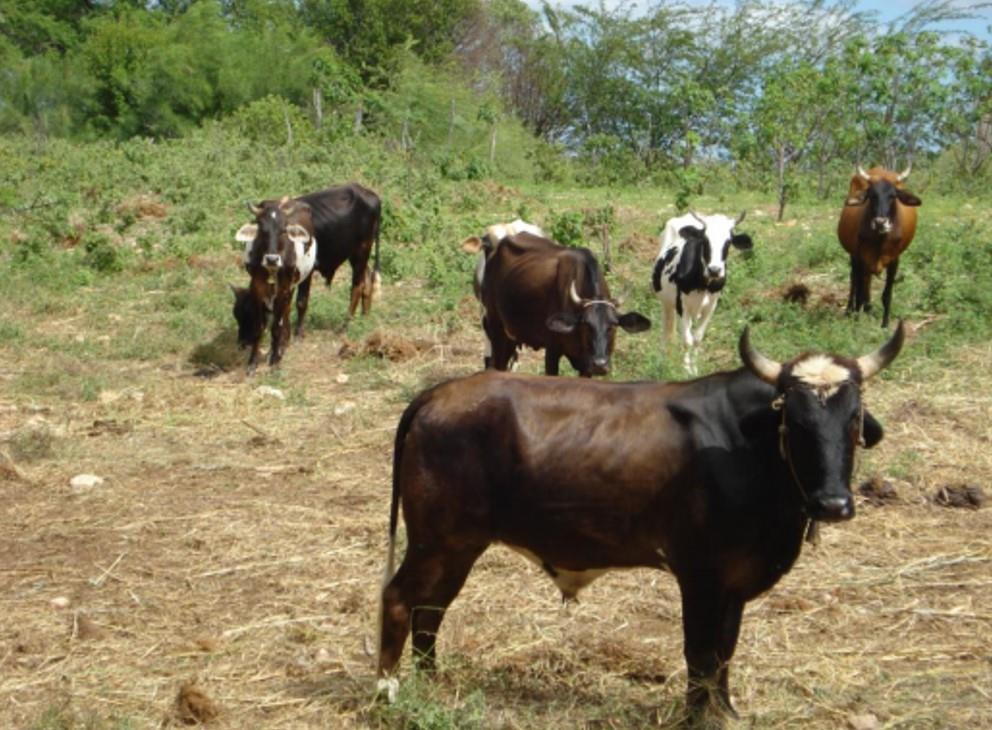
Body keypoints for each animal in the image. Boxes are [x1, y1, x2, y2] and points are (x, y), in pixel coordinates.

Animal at [232, 195, 314, 370]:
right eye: (262, 230)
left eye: (284, 230)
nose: (272, 259)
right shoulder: (257, 288)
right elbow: (259, 327)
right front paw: (253, 362)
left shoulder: (283, 289)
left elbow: (277, 326)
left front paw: (276, 359)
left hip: (305, 276)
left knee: (299, 303)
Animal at [378, 322, 908, 724]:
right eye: (794, 422)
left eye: (853, 420)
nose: (833, 504)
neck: (743, 447)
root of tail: (440, 393)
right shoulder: (700, 577)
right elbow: (701, 653)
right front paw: (695, 717)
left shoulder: (734, 583)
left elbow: (726, 652)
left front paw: (726, 711)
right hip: (435, 542)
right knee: (400, 599)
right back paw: (389, 690)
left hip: (458, 547)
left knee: (432, 610)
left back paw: (433, 683)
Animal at [476, 232, 648, 376]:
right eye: (586, 325)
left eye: (613, 326)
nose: (600, 365)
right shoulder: (552, 351)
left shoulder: (585, 365)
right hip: (495, 326)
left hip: (510, 335)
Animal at [652, 208, 752, 372]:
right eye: (705, 240)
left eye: (728, 242)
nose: (715, 270)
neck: (703, 284)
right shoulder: (682, 306)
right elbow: (687, 340)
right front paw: (686, 369)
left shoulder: (711, 307)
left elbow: (697, 338)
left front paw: (694, 368)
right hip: (665, 301)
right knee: (666, 328)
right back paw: (663, 357)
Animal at [836, 165, 924, 328]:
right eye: (872, 196)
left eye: (893, 196)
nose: (880, 222)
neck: (880, 239)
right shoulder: (859, 257)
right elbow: (859, 291)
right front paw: (856, 320)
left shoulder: (894, 261)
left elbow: (886, 295)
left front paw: (885, 324)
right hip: (854, 257)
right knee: (854, 282)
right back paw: (851, 310)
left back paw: (868, 309)